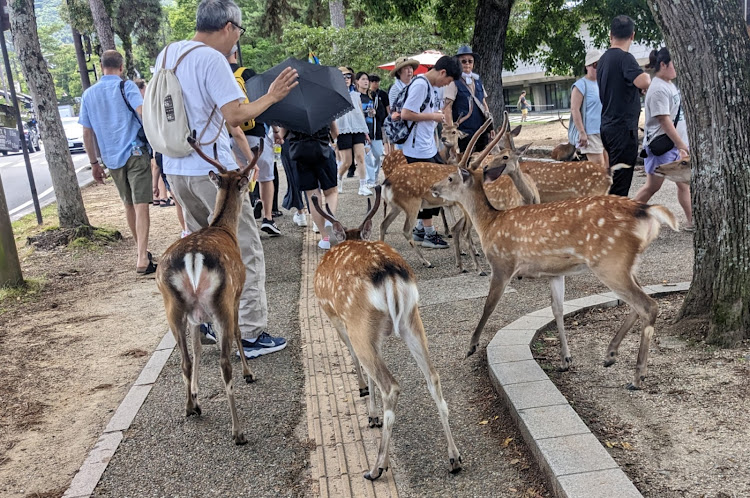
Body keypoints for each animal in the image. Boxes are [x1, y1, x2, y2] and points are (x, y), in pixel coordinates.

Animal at [154, 136, 262, 444]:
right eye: (242, 180)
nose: (250, 187)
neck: (224, 229)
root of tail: (193, 258)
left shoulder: (195, 317)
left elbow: (198, 349)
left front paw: (195, 393)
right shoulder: (237, 295)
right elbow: (239, 333)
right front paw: (249, 373)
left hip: (173, 307)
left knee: (185, 359)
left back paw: (191, 407)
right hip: (220, 301)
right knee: (225, 362)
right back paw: (238, 432)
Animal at [312, 186, 464, 478]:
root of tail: (390, 274)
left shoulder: (337, 320)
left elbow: (355, 361)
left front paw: (367, 404)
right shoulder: (375, 335)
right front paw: (371, 414)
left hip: (360, 322)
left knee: (390, 386)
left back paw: (376, 467)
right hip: (410, 320)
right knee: (433, 377)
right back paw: (454, 457)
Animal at [428, 148, 680, 390]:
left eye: (450, 177)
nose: (433, 188)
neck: (489, 225)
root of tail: (648, 212)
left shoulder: (502, 263)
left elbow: (489, 305)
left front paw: (471, 346)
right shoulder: (555, 273)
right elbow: (557, 309)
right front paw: (565, 360)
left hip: (610, 262)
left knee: (648, 305)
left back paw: (637, 377)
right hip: (627, 263)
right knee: (641, 301)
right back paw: (610, 354)